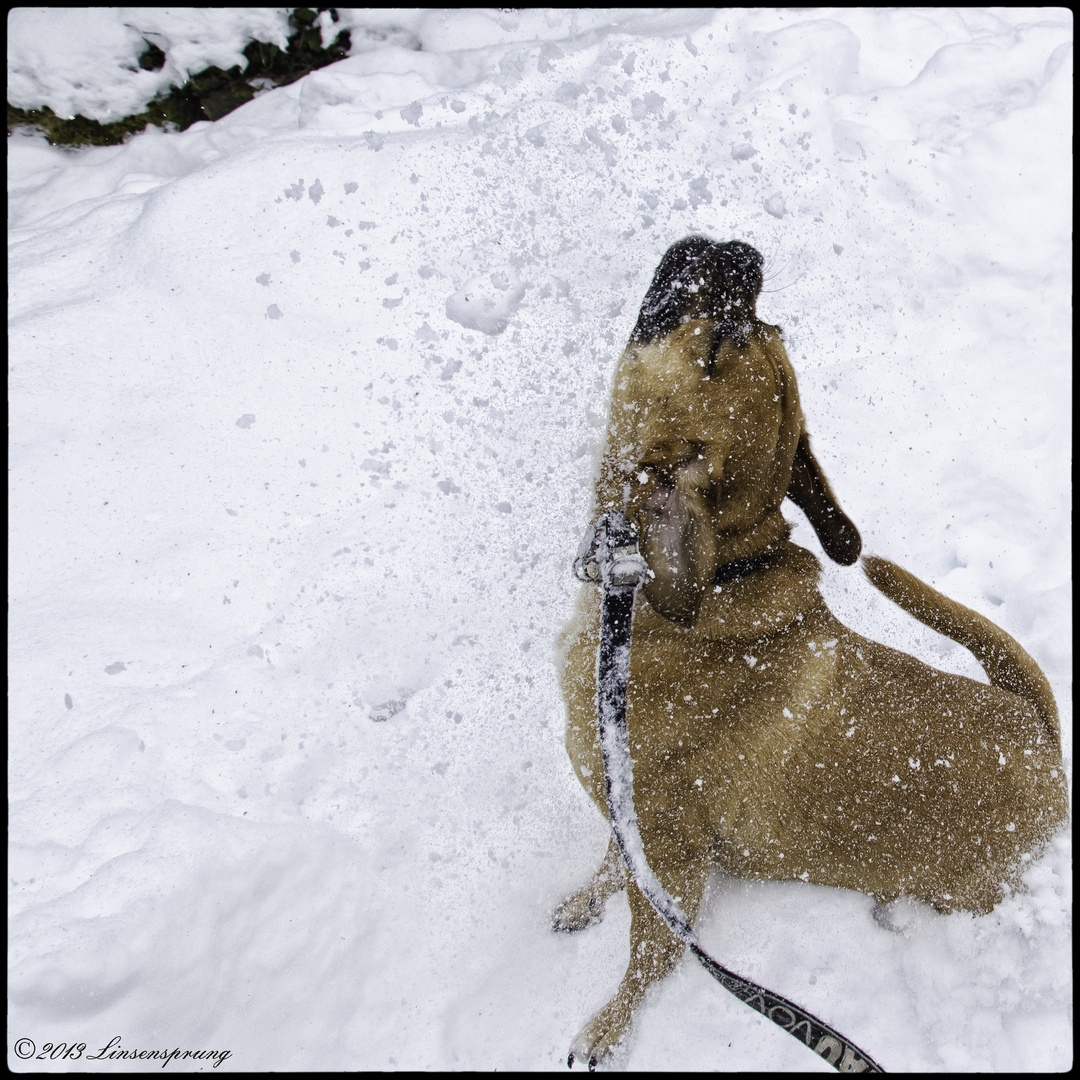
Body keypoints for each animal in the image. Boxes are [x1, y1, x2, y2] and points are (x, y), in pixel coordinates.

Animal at [557, 238, 1071, 1062]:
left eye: (720, 342)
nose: (745, 252)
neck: (715, 576)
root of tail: (1040, 731)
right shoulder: (625, 812)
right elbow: (610, 860)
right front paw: (584, 899)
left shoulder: (666, 847)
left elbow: (649, 950)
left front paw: (610, 1025)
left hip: (964, 887)